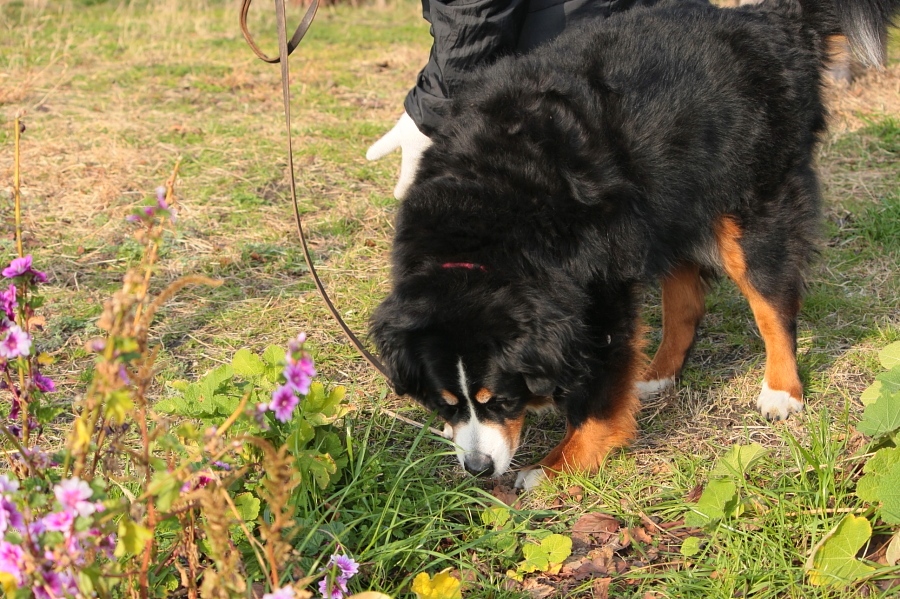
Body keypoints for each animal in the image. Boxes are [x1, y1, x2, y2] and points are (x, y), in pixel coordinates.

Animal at [368, 0, 900, 490]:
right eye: (447, 402)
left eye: (499, 399)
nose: (478, 469)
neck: (483, 226)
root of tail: (770, 22)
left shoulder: (594, 290)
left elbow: (598, 389)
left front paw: (558, 466)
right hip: (667, 200)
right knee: (685, 300)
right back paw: (657, 374)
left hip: (752, 199)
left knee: (772, 299)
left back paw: (781, 391)